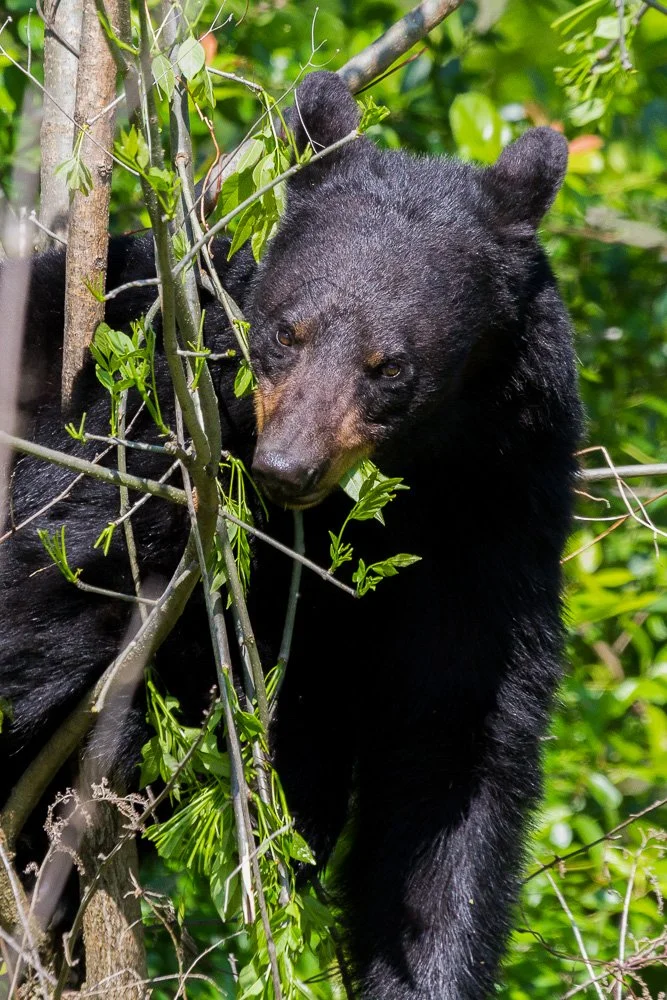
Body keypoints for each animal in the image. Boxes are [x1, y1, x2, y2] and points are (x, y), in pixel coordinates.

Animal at [0, 70, 582, 999]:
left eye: (389, 366)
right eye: (286, 330)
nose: (285, 465)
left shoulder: (498, 508)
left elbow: (452, 744)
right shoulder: (138, 410)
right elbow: (51, 568)